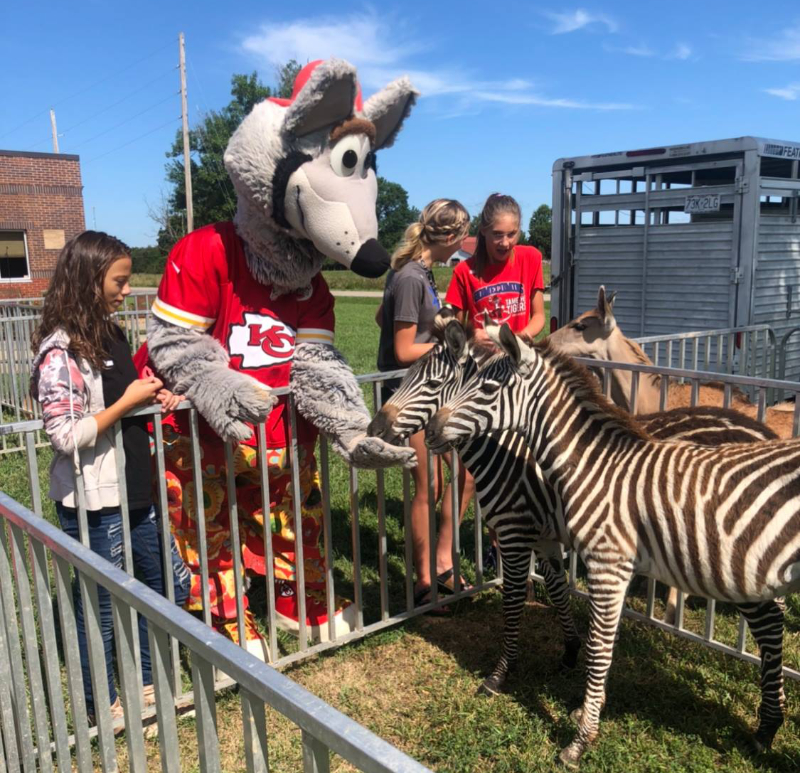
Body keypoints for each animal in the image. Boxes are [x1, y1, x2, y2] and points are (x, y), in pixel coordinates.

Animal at [428, 318, 796, 764]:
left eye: (485, 388)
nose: (432, 430)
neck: (593, 464)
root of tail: (761, 428)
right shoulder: (580, 554)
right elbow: (584, 622)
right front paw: (584, 700)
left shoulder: (592, 558)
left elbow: (591, 644)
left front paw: (576, 735)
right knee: (770, 624)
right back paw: (766, 727)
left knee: (769, 625)